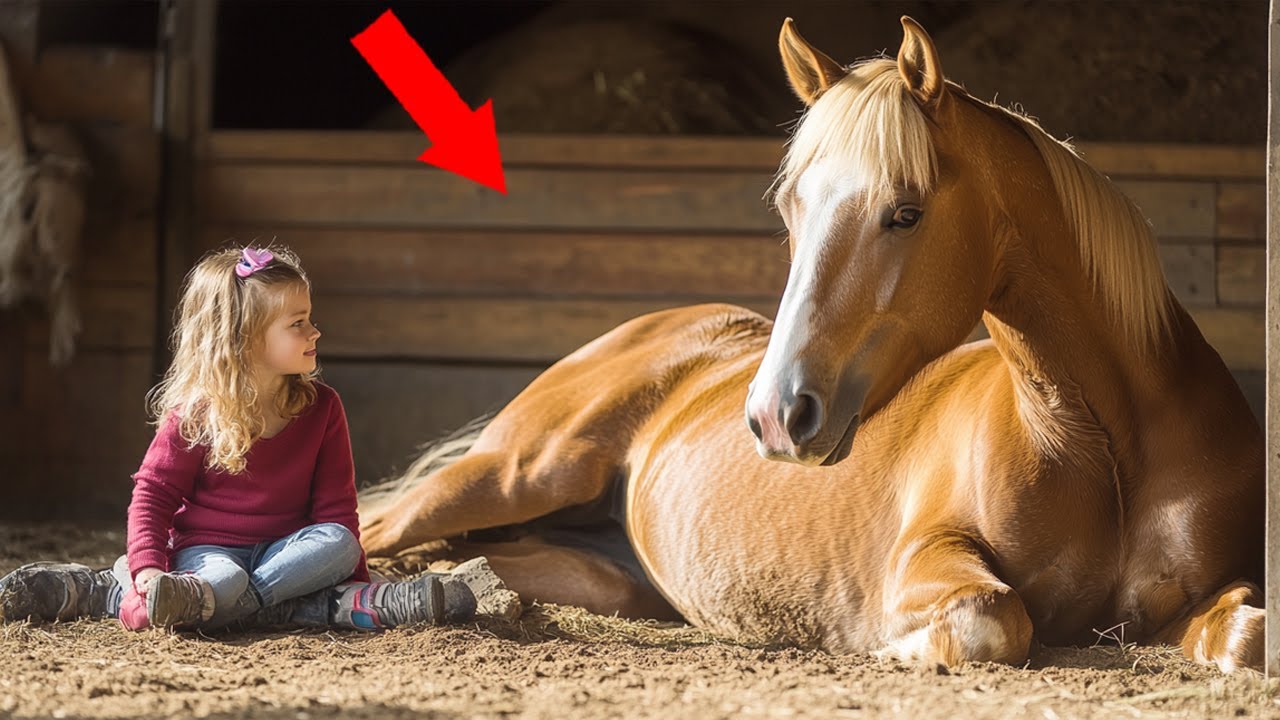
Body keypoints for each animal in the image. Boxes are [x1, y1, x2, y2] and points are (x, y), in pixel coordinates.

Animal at [358, 17, 1265, 672]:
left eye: (906, 211)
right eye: (792, 206)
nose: (774, 415)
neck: (1101, 447)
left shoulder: (1218, 590)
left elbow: (1250, 637)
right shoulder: (926, 558)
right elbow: (992, 618)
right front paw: (894, 648)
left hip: (595, 571)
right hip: (518, 474)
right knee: (369, 537)